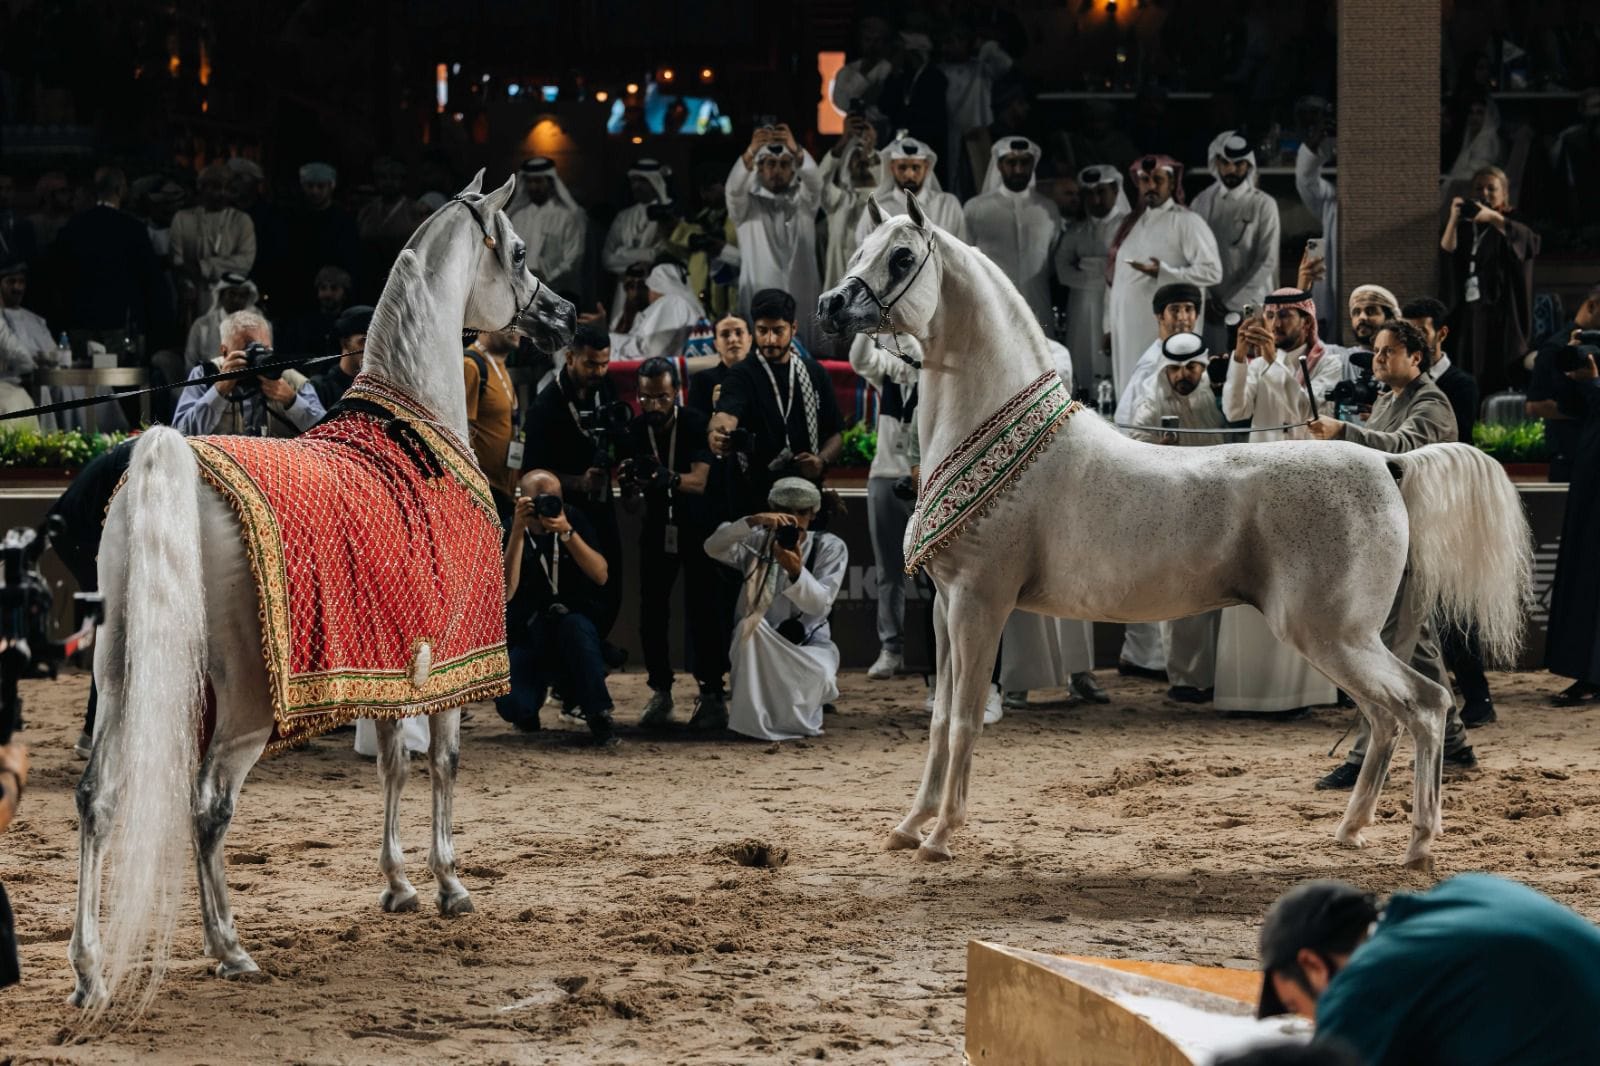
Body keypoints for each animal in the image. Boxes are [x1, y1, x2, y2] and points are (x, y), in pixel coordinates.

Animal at [69, 172, 575, 1015]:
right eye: (520, 250)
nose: (565, 314)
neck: (419, 421)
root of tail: (168, 463)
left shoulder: (401, 661)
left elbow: (392, 764)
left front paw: (399, 884)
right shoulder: (457, 663)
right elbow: (442, 764)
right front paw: (449, 884)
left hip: (118, 677)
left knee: (97, 799)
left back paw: (90, 971)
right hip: (242, 708)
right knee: (208, 807)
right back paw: (228, 948)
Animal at [815, 195, 1531, 872]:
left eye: (902, 257)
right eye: (861, 248)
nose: (829, 305)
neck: (1006, 439)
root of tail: (1389, 462)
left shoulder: (979, 604)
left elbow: (964, 717)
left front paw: (940, 837)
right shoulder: (945, 607)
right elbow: (939, 718)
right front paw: (909, 827)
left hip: (1336, 636)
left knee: (1425, 706)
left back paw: (1419, 845)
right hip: (1346, 640)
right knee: (1387, 718)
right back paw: (1352, 830)